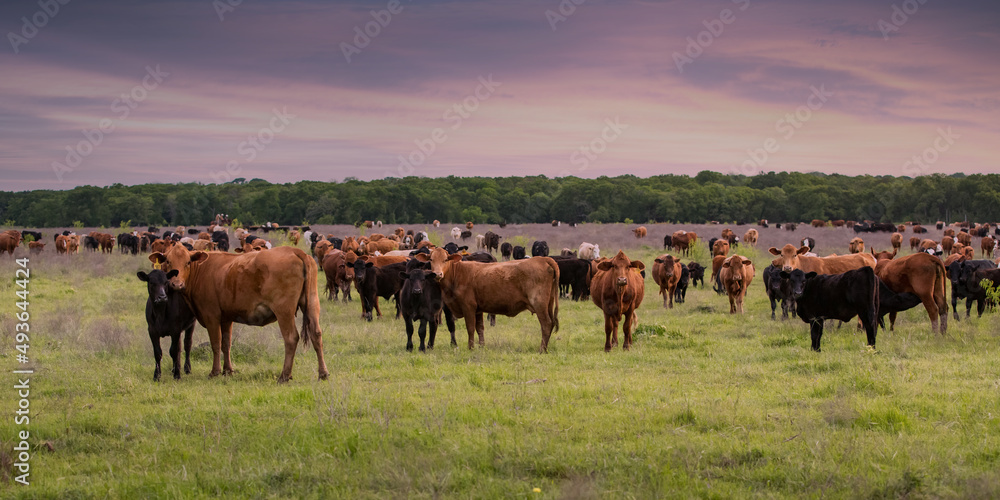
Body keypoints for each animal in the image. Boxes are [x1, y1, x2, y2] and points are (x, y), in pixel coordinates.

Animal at [150, 244, 328, 380]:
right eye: (168, 261)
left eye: (187, 262)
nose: (176, 284)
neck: (202, 271)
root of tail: (295, 251)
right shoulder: (226, 318)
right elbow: (226, 344)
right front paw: (228, 370)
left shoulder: (211, 316)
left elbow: (216, 344)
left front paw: (215, 372)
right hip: (312, 304)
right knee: (316, 334)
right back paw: (323, 373)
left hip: (284, 310)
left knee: (291, 338)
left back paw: (284, 375)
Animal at [410, 249, 560, 352]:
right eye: (431, 259)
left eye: (445, 259)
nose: (437, 274)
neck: (457, 274)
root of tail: (542, 259)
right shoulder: (478, 309)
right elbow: (480, 328)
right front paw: (482, 346)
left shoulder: (468, 307)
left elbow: (470, 328)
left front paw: (471, 347)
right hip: (548, 304)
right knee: (551, 323)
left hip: (539, 304)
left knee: (546, 324)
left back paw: (542, 349)